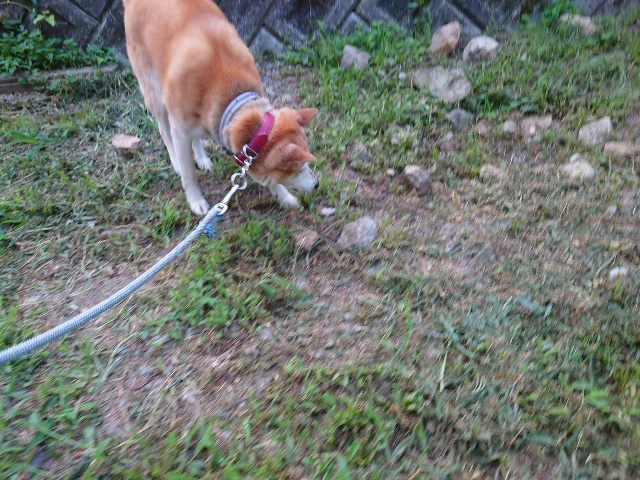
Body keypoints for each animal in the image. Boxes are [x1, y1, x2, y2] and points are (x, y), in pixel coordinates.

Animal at [123, 0, 319, 215]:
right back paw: (176, 162)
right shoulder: (180, 131)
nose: (317, 184)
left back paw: (202, 158)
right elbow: (189, 175)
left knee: (195, 138)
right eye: (299, 169)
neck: (233, 100)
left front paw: (285, 197)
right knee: (164, 130)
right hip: (155, 93)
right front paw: (196, 200)